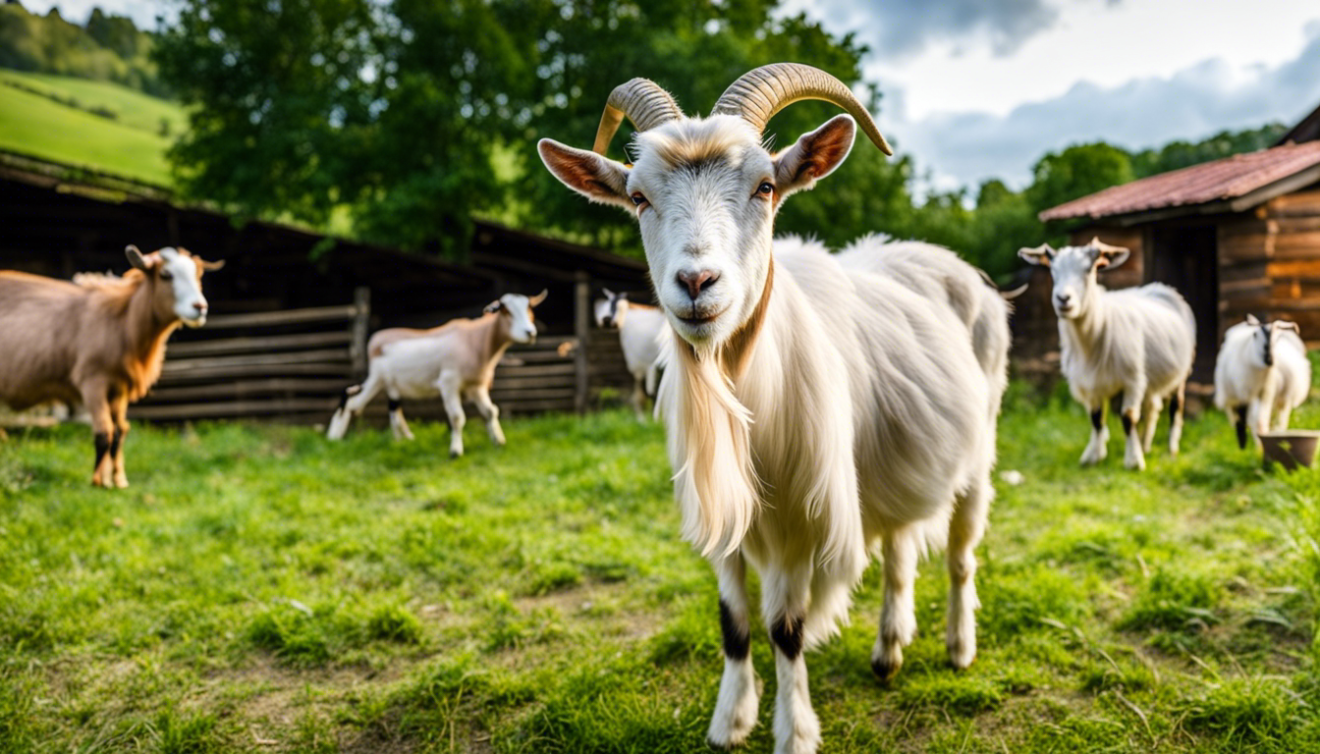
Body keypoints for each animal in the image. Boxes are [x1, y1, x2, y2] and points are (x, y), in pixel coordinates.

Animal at [0, 246, 222, 487]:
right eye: (166, 274)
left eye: (198, 275)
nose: (200, 307)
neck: (121, 322)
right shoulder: (92, 381)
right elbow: (103, 432)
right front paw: (98, 481)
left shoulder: (119, 388)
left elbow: (120, 432)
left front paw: (118, 479)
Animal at [326, 291, 546, 457]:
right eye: (507, 311)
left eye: (529, 310)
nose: (530, 332)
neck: (478, 341)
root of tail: (375, 339)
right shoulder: (448, 382)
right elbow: (457, 417)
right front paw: (455, 451)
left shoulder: (477, 385)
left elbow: (491, 411)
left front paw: (499, 441)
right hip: (376, 378)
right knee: (354, 404)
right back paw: (335, 436)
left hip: (390, 384)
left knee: (393, 409)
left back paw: (403, 439)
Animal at [594, 289, 666, 420]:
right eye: (609, 303)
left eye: (617, 306)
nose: (607, 320)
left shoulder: (640, 363)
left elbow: (646, 392)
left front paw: (644, 418)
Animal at [1019, 239, 1195, 470]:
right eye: (1053, 270)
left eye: (1089, 269)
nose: (1063, 299)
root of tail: (1160, 287)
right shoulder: (1089, 383)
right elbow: (1096, 418)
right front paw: (1093, 456)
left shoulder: (1132, 379)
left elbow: (1128, 417)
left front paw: (1133, 460)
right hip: (1150, 375)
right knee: (1152, 407)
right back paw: (1146, 444)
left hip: (1181, 372)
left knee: (1176, 406)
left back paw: (1171, 448)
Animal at [1214, 314, 1309, 448]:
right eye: (1255, 335)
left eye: (1279, 337)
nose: (1269, 359)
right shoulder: (1248, 394)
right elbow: (1254, 420)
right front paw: (1258, 447)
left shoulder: (1270, 393)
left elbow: (1264, 421)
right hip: (1233, 396)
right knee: (1239, 419)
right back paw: (1243, 441)